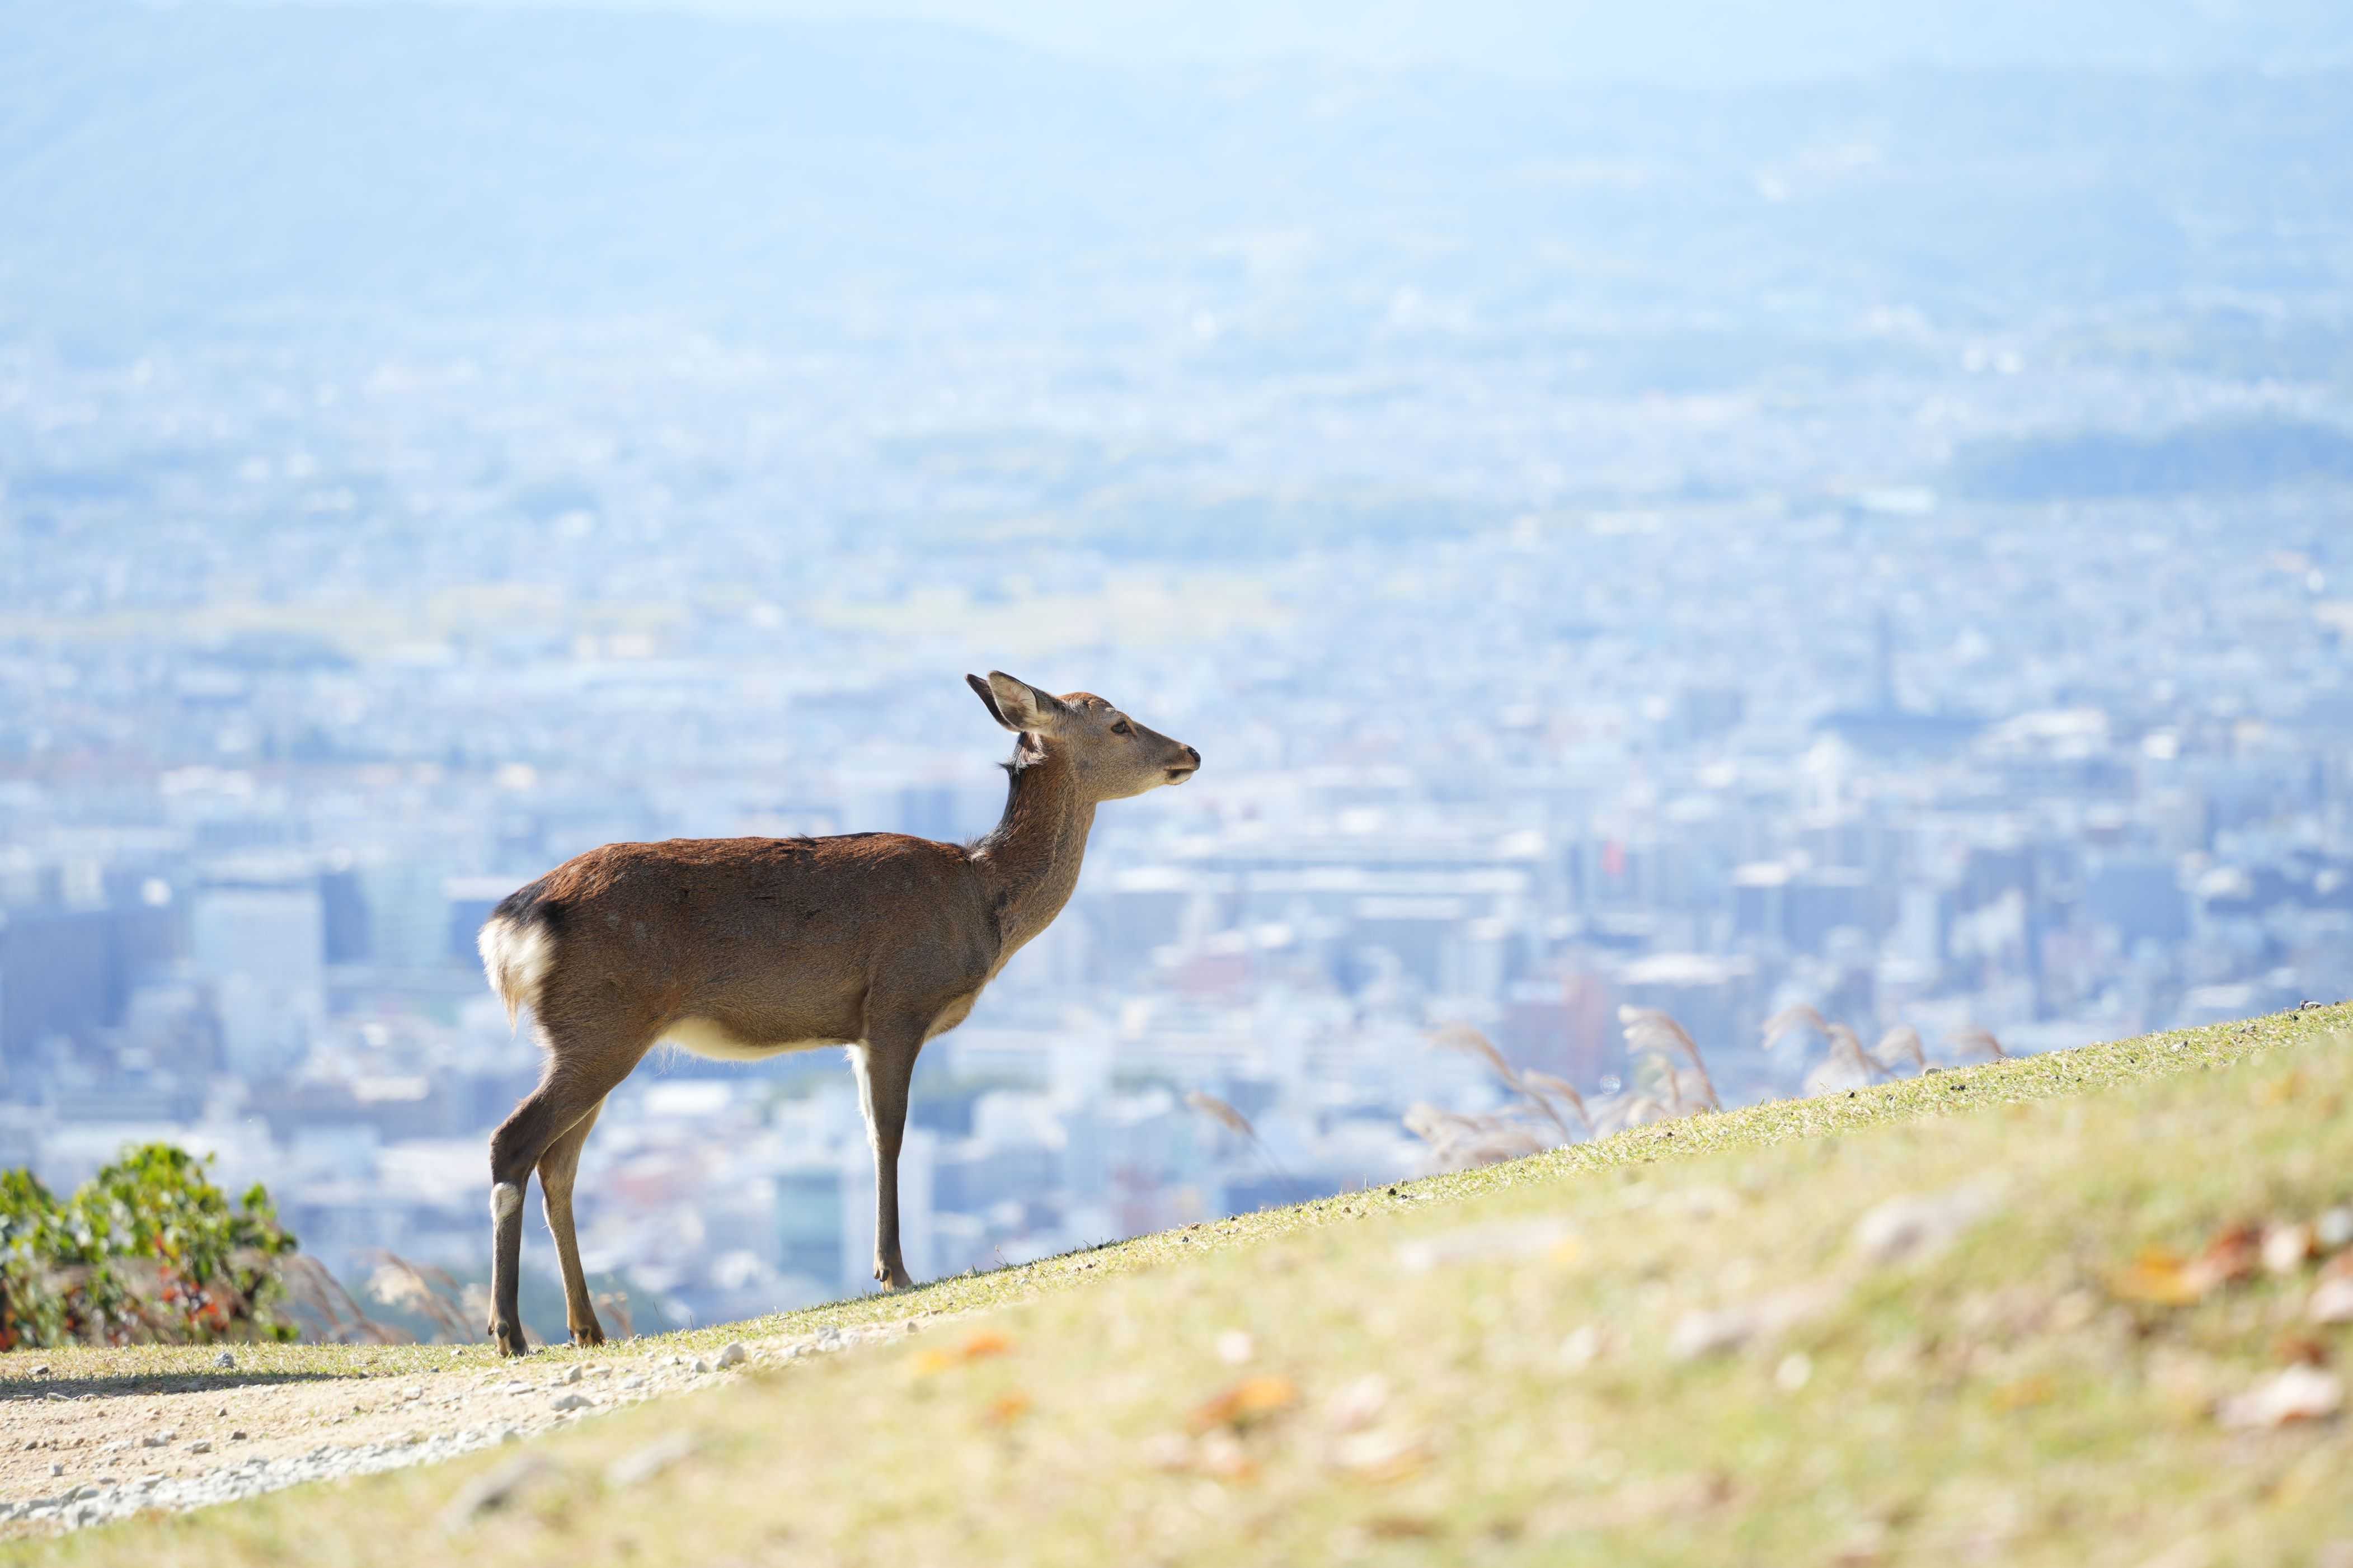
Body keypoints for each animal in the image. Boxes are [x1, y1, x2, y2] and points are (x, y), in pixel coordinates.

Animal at [468, 667, 1195, 1354]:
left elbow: (871, 1130)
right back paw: (510, 1331)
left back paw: (586, 1327)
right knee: (514, 1140)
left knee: (559, 1165)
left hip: (591, 1036)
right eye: (1119, 723)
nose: (1189, 751)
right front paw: (893, 1269)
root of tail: (513, 925)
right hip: (603, 1027)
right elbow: (891, 1132)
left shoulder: (856, 1033)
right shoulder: (898, 1002)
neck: (981, 899)